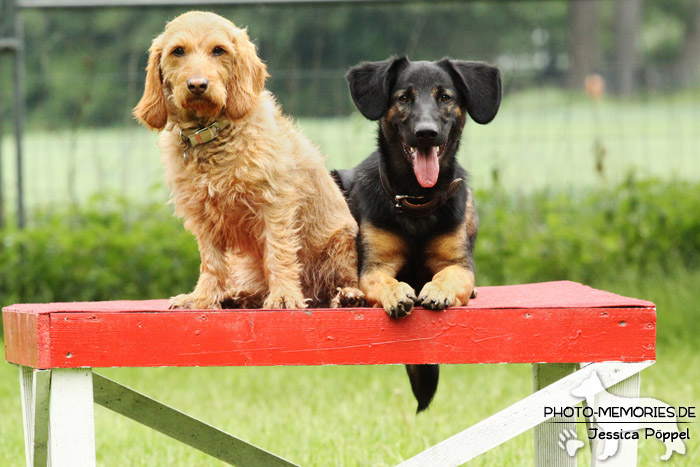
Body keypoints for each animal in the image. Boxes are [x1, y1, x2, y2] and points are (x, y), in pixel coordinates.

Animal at [133, 11, 360, 308]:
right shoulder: (203, 215)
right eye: (177, 51)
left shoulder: (274, 205)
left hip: (341, 243)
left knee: (346, 280)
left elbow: (279, 252)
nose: (197, 85)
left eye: (219, 50)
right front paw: (202, 297)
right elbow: (211, 262)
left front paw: (284, 295)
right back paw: (238, 297)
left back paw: (348, 296)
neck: (213, 134)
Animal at [336, 55, 500, 414]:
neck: (417, 200)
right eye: (404, 98)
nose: (426, 133)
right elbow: (384, 281)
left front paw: (438, 290)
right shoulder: (374, 267)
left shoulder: (457, 264)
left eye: (445, 97)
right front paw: (397, 292)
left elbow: (449, 276)